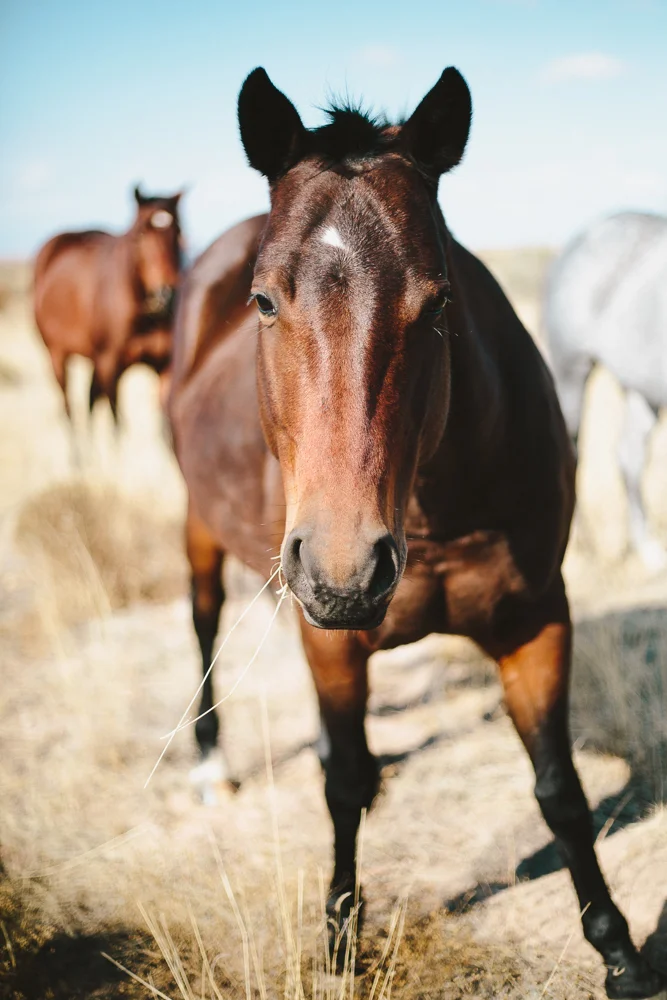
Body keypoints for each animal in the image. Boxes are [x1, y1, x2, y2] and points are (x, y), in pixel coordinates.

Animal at [34, 184, 183, 433]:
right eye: (140, 234)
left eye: (179, 233)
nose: (167, 293)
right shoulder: (110, 366)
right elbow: (116, 424)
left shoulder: (165, 367)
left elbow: (165, 426)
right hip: (57, 355)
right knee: (70, 411)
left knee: (90, 404)